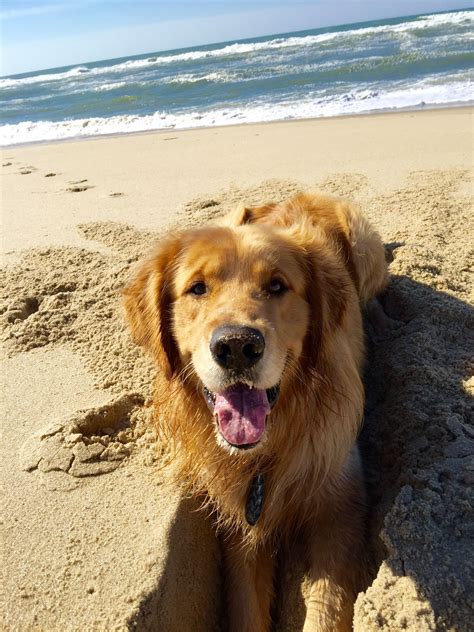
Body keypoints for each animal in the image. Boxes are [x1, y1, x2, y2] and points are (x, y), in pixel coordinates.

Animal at [122, 194, 388, 632]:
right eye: (198, 288)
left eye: (277, 285)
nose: (236, 346)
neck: (266, 453)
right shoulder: (239, 523)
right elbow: (247, 606)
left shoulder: (341, 509)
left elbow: (327, 610)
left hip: (365, 248)